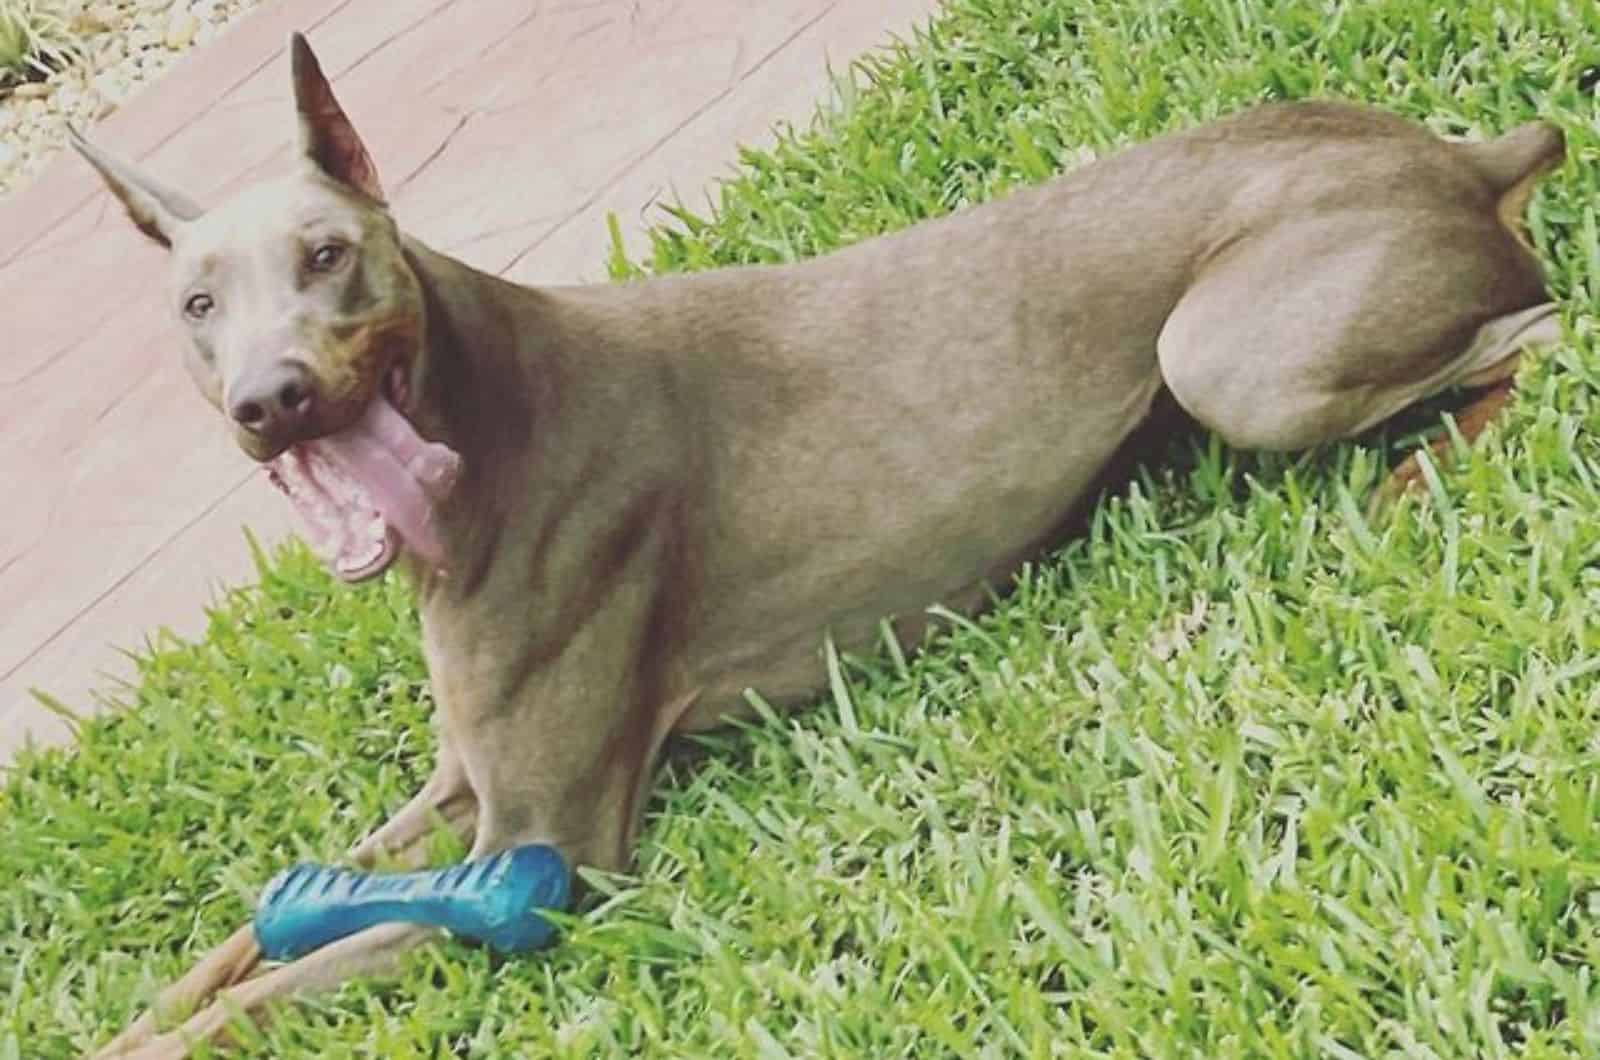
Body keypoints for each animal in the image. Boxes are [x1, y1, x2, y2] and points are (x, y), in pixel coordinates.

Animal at [72, 33, 1561, 1060]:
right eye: (196, 303)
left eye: (327, 255)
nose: (269, 400)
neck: (484, 413)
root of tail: (1456, 156)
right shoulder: (457, 790)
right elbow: (229, 946)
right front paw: (131, 1000)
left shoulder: (549, 856)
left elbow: (249, 998)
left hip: (1228, 361)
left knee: (1545, 331)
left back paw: (1421, 465)